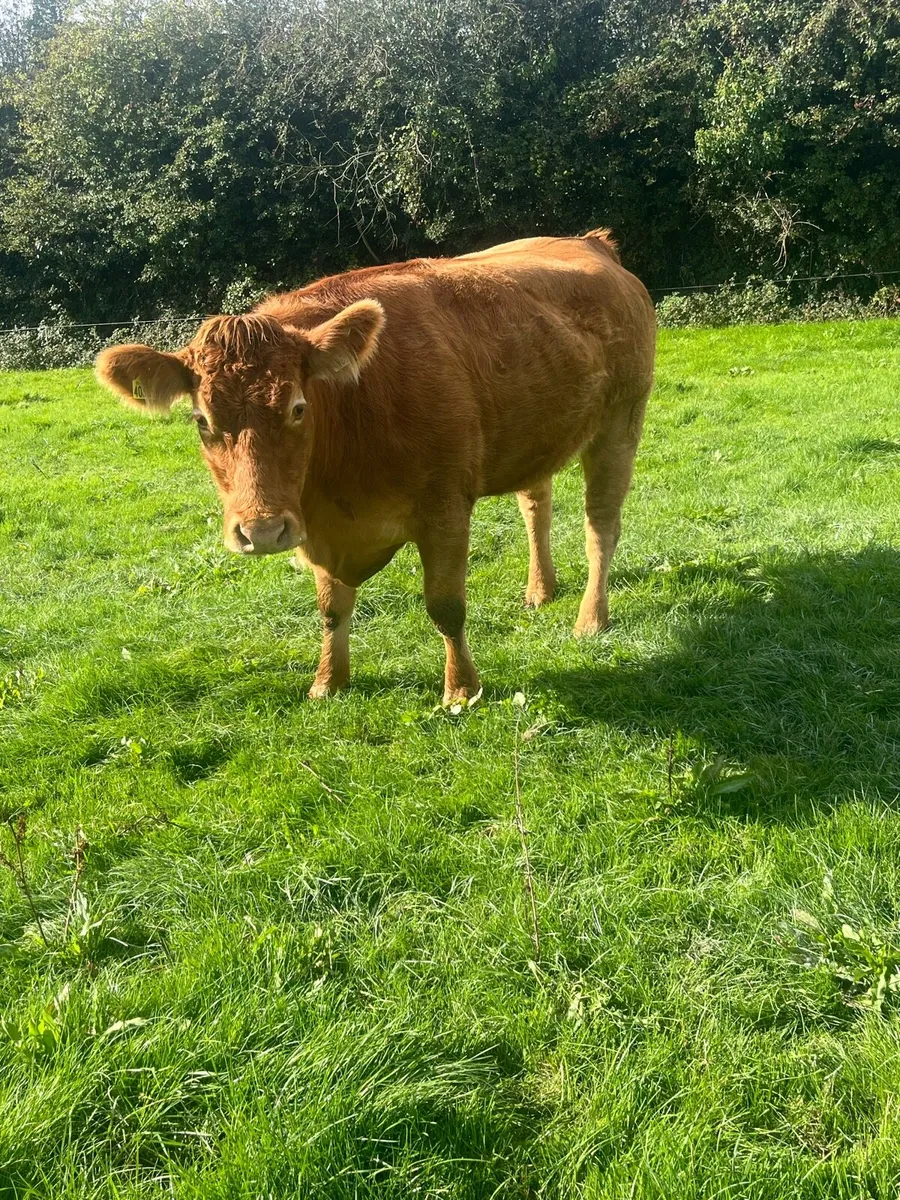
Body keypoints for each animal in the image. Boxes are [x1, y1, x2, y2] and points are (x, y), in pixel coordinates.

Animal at [95, 231, 656, 703]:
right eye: (201, 421)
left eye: (298, 408)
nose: (264, 531)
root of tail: (590, 242)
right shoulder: (320, 531)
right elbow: (331, 609)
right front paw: (328, 682)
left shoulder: (445, 507)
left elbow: (445, 605)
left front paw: (461, 690)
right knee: (536, 504)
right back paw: (541, 590)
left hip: (621, 423)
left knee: (601, 526)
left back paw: (590, 618)